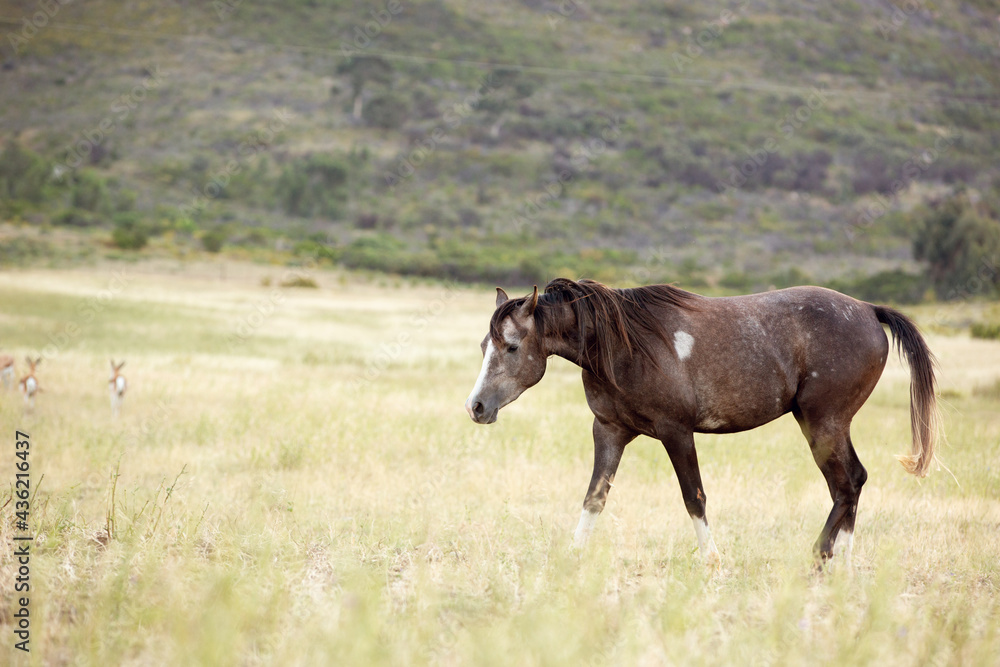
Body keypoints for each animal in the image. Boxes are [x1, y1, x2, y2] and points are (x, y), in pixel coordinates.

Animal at [464, 278, 939, 568]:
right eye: (485, 345)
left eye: (511, 346)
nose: (476, 407)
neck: (622, 346)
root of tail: (868, 310)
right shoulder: (609, 431)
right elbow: (595, 497)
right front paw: (572, 556)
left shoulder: (676, 432)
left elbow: (693, 496)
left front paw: (712, 561)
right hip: (826, 425)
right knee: (851, 482)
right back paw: (843, 563)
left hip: (824, 423)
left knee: (846, 484)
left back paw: (819, 559)